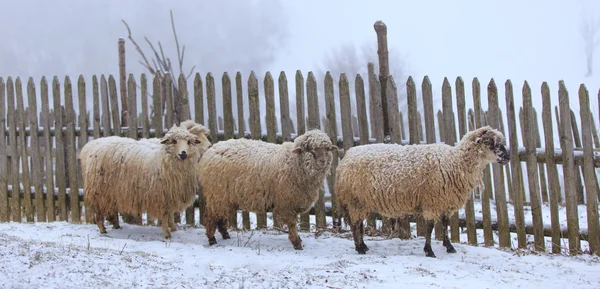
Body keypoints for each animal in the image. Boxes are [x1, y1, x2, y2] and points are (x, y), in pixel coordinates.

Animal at [79, 120, 211, 238]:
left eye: (189, 141)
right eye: (174, 141)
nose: (183, 153)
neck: (164, 158)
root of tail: (89, 146)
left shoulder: (171, 193)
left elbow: (171, 213)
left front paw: (173, 228)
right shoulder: (161, 195)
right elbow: (165, 214)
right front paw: (167, 233)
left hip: (111, 192)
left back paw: (116, 225)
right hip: (99, 190)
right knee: (99, 211)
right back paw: (102, 229)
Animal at [198, 129, 336, 249]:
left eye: (327, 149)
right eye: (311, 149)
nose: (322, 161)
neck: (294, 163)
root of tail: (210, 151)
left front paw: (298, 241)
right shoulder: (287, 203)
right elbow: (292, 224)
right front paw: (297, 243)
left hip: (223, 197)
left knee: (220, 217)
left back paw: (225, 235)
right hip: (217, 194)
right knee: (211, 216)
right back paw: (212, 239)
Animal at [336, 125, 508, 255]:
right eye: (490, 142)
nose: (508, 157)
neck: (456, 162)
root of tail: (345, 158)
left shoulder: (446, 202)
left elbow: (445, 224)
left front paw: (449, 246)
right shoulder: (432, 201)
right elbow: (430, 227)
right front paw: (429, 251)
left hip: (359, 201)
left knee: (358, 224)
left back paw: (363, 246)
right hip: (355, 200)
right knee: (355, 224)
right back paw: (359, 248)